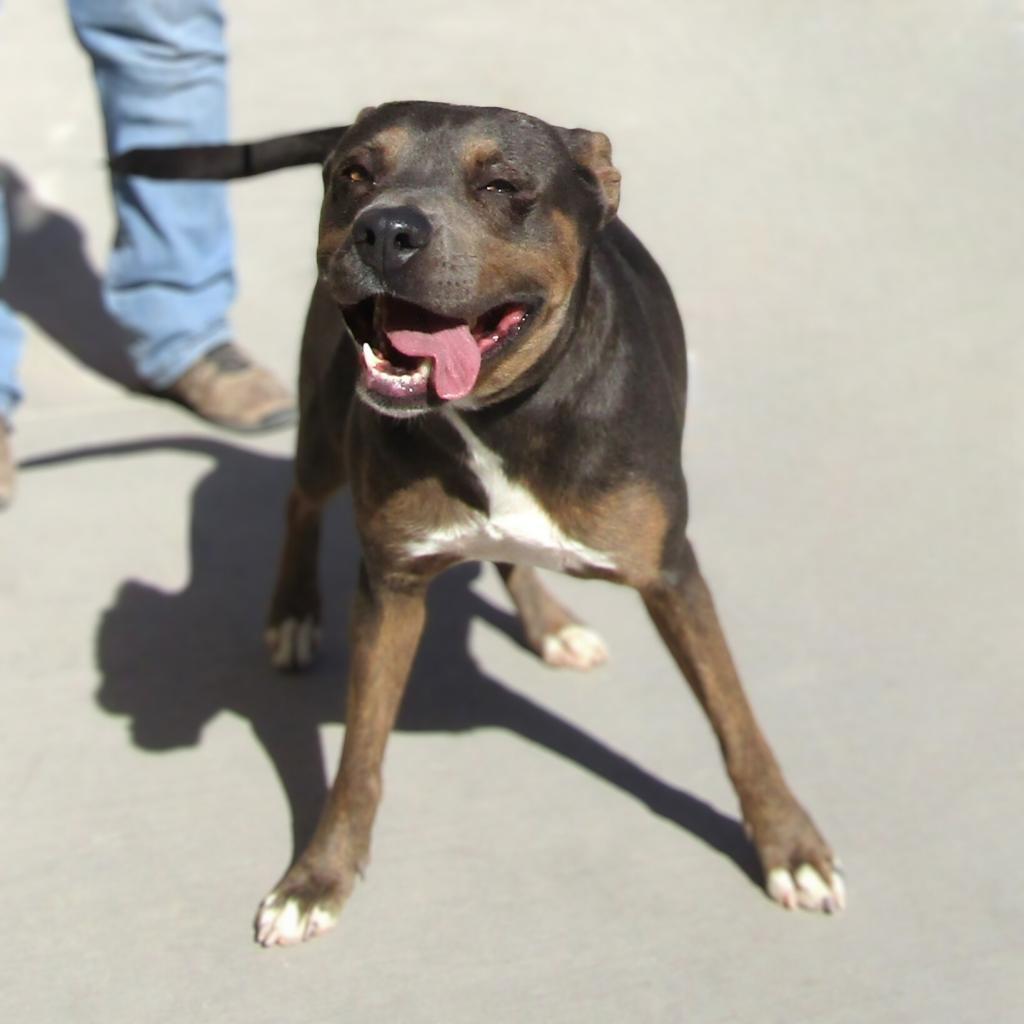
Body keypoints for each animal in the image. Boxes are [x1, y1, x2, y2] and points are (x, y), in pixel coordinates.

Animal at [116, 99, 843, 946]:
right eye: (355, 174)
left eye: (501, 185)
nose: (384, 229)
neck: (496, 416)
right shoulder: (391, 587)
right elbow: (359, 755)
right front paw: (319, 877)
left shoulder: (672, 575)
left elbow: (736, 721)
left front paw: (790, 846)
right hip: (325, 428)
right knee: (302, 499)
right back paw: (294, 613)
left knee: (498, 551)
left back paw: (550, 623)